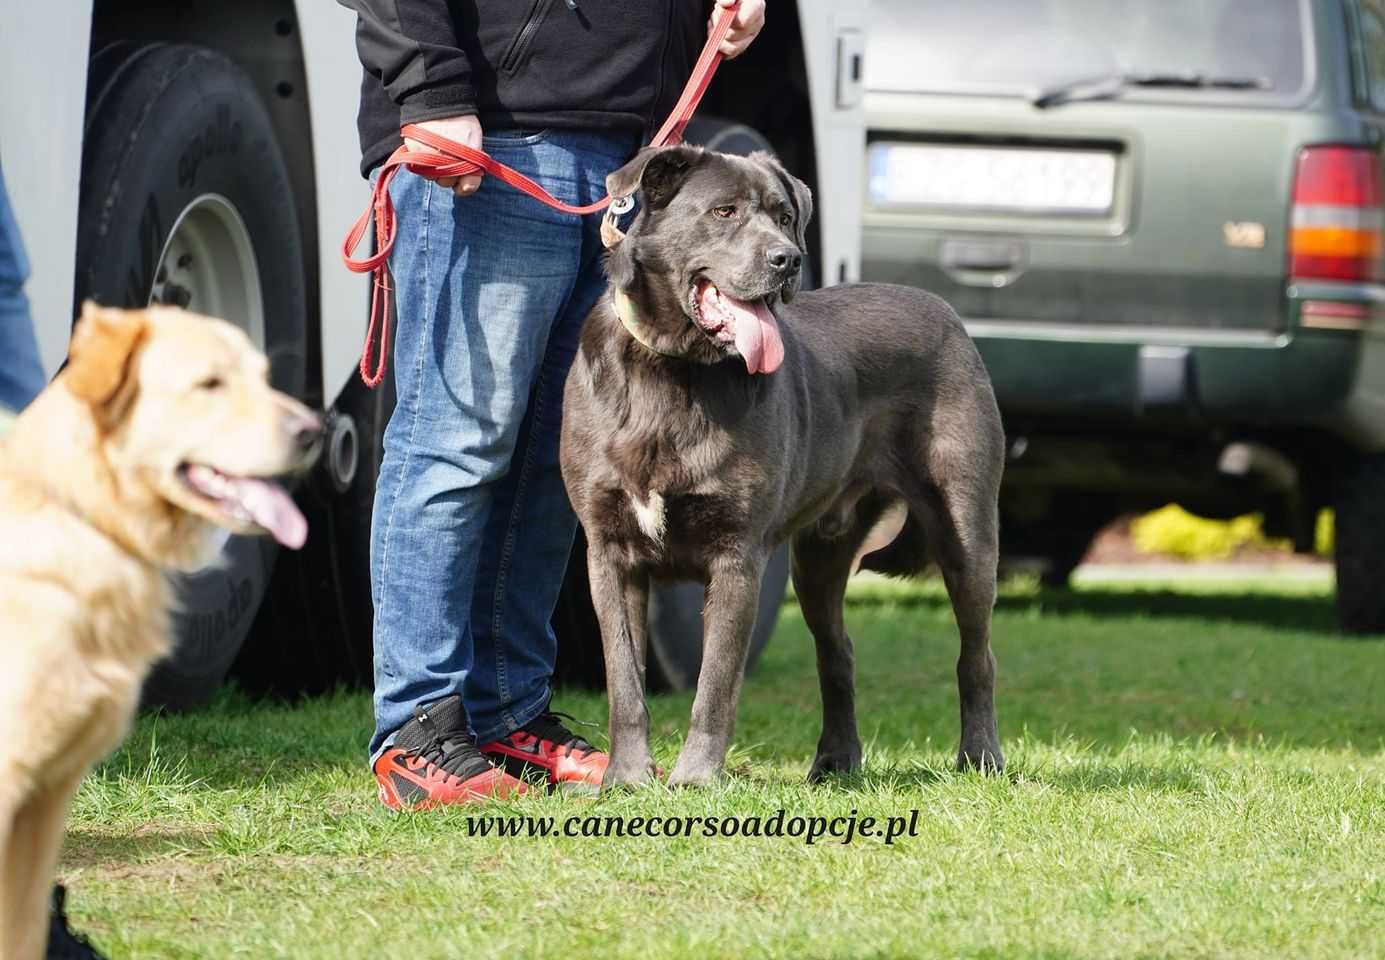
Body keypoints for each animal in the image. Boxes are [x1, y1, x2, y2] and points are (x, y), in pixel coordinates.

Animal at [562, 144, 1008, 786]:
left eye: (784, 215)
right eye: (723, 211)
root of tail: (947, 313)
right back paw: (836, 761)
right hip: (820, 557)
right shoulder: (610, 553)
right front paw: (625, 778)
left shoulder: (736, 555)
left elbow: (715, 683)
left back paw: (980, 756)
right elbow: (624, 676)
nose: (788, 259)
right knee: (837, 652)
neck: (674, 370)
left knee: (977, 653)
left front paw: (694, 778)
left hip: (966, 530)